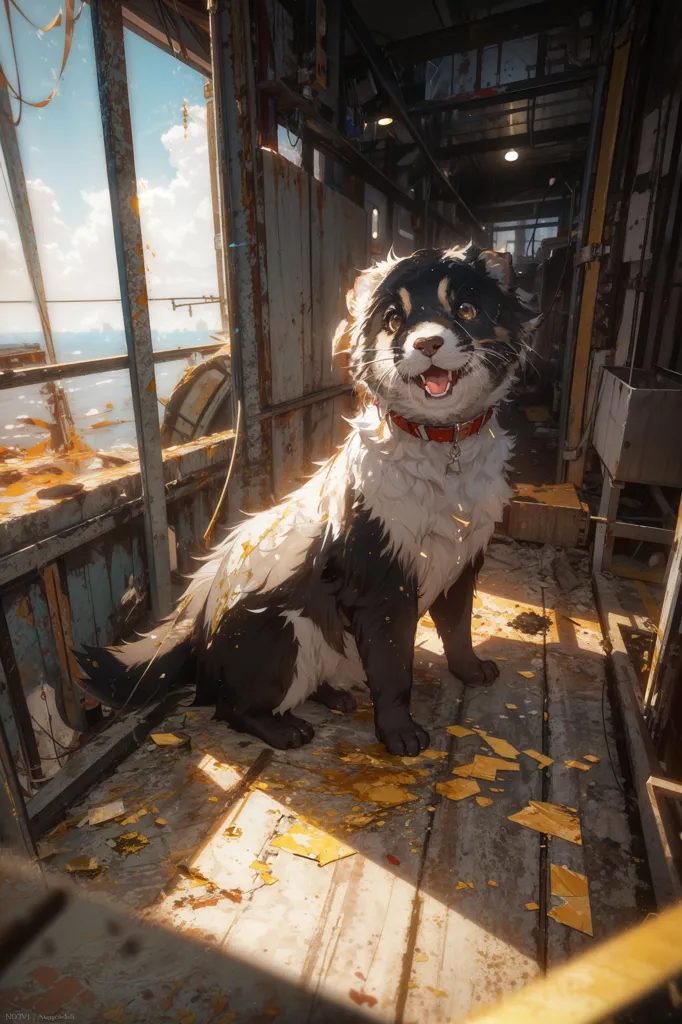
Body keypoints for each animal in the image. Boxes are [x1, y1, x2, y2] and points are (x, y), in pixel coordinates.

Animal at [76, 246, 532, 757]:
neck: (441, 444)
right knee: (230, 706)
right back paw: (286, 729)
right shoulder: (380, 579)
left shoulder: (463, 556)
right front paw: (401, 734)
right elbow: (394, 667)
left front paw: (471, 671)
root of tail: (196, 623)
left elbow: (458, 628)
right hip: (281, 635)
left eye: (467, 310)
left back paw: (335, 696)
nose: (428, 343)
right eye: (394, 320)